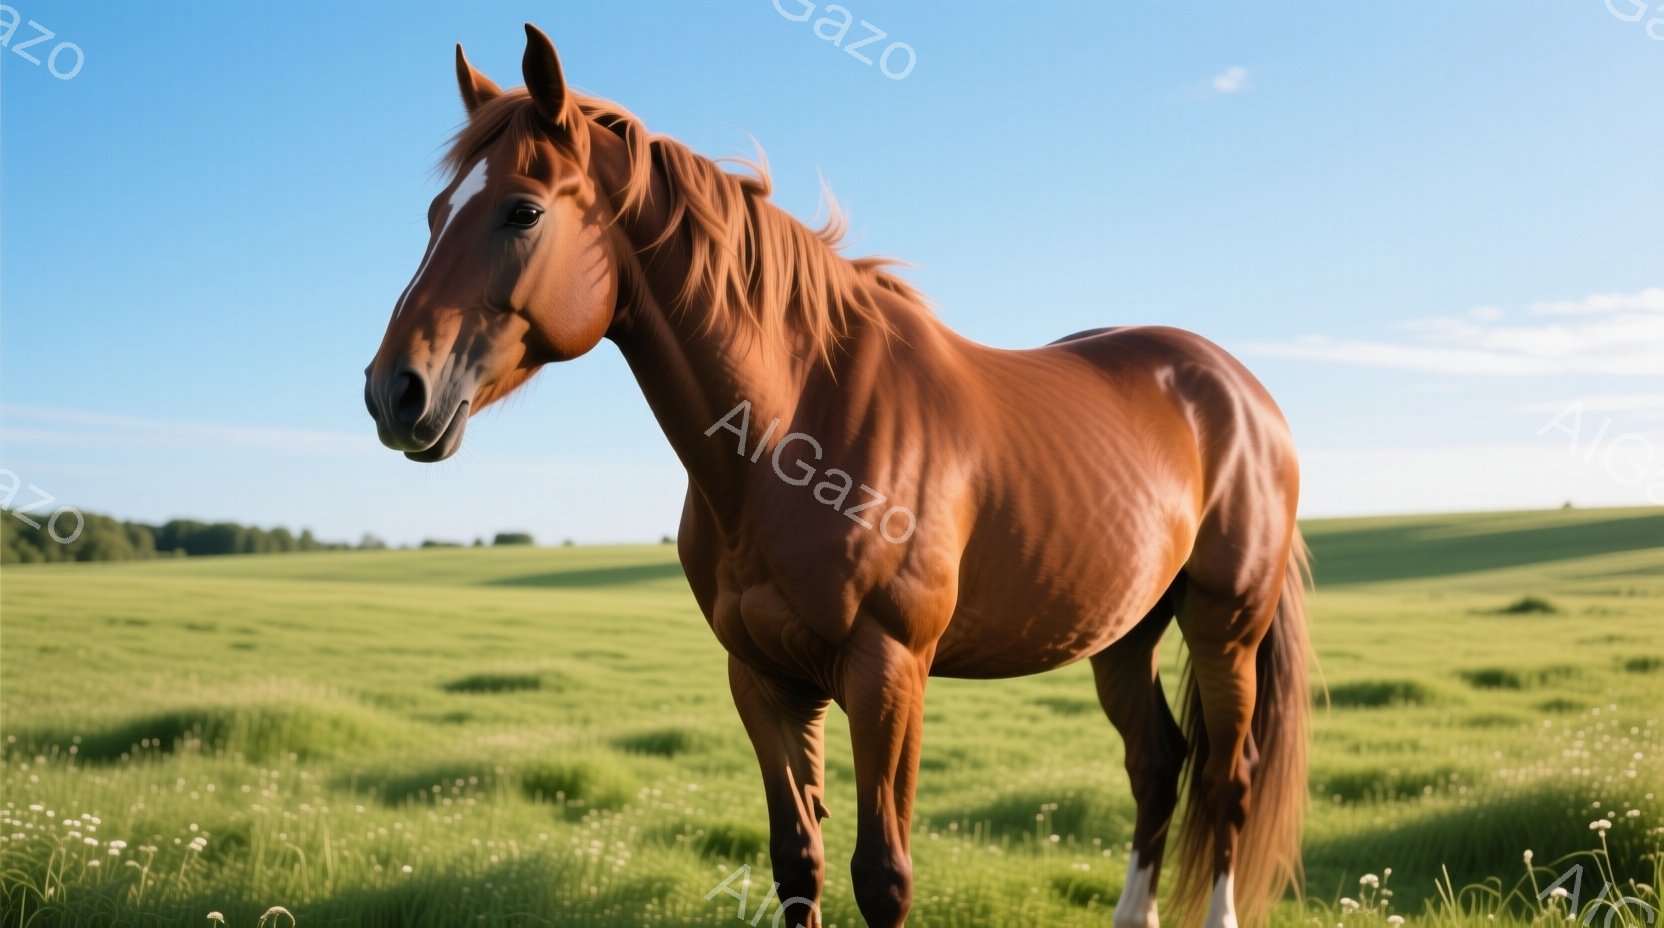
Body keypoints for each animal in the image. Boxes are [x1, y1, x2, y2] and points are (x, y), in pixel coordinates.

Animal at [364, 25, 1311, 928]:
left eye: (521, 211)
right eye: (435, 211)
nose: (394, 391)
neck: (795, 436)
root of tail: (1243, 393)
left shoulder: (887, 671)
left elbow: (882, 877)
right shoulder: (764, 679)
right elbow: (799, 864)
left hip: (1225, 629)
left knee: (1226, 779)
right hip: (1123, 633)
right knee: (1156, 764)